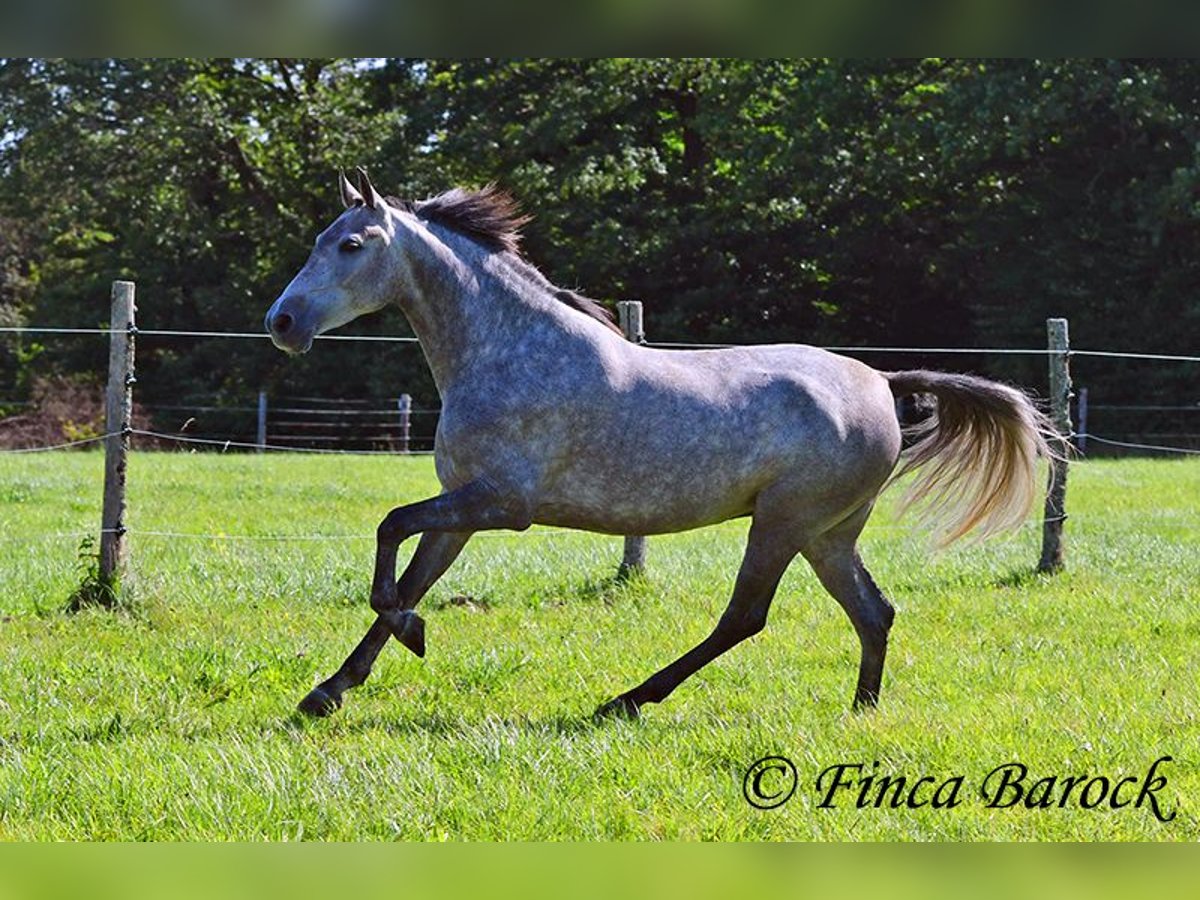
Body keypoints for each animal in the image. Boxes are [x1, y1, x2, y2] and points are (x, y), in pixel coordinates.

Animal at [262, 168, 1051, 720]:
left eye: (351, 244)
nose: (282, 322)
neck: (508, 351)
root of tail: (883, 382)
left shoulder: (502, 505)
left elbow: (389, 531)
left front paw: (407, 637)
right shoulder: (461, 507)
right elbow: (409, 574)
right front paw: (331, 689)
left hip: (784, 522)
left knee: (745, 617)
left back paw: (626, 700)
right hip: (829, 533)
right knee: (873, 611)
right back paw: (860, 710)